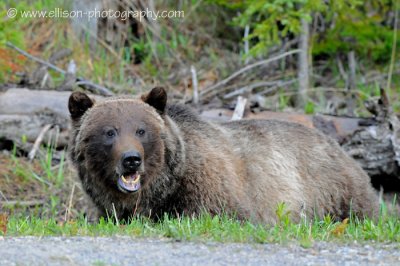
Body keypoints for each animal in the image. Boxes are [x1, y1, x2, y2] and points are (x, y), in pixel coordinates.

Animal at [67, 87, 380, 222]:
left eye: (141, 130)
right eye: (110, 132)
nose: (131, 159)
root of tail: (337, 145)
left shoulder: (213, 190)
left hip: (331, 188)